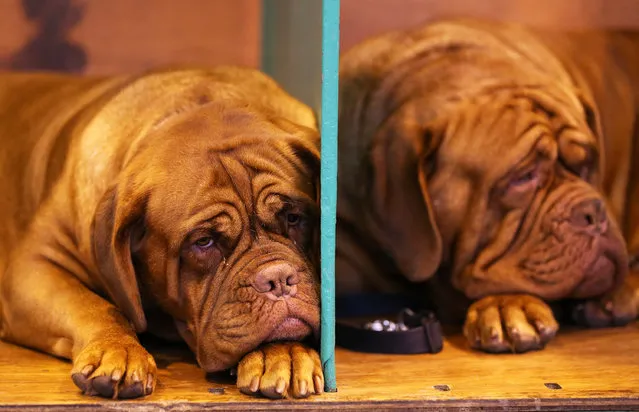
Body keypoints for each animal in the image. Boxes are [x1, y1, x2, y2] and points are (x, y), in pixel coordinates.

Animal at [0, 66, 324, 398]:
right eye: (204, 241)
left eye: (294, 217)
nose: (277, 279)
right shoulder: (33, 267)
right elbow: (94, 306)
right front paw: (118, 350)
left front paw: (284, 352)